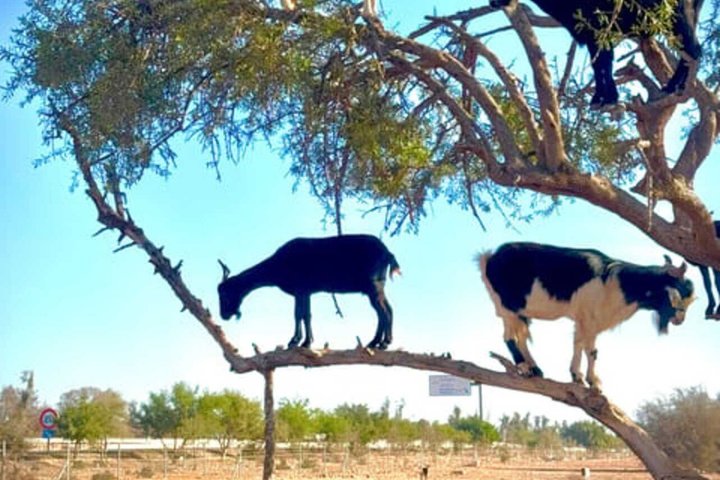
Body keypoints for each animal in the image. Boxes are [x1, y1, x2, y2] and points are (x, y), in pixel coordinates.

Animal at [217, 234, 400, 349]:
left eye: (224, 293)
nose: (224, 315)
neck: (278, 265)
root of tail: (388, 253)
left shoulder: (300, 289)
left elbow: (299, 314)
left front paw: (296, 342)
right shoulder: (306, 292)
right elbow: (306, 315)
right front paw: (304, 342)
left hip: (373, 286)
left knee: (384, 311)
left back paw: (380, 343)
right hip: (377, 287)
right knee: (387, 310)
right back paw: (380, 342)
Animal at [478, 242, 694, 389]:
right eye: (681, 293)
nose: (680, 320)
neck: (616, 283)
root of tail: (489, 257)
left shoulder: (587, 320)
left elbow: (579, 344)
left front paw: (578, 376)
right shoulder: (589, 318)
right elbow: (591, 351)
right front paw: (592, 381)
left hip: (520, 312)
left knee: (521, 337)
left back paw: (535, 369)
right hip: (508, 308)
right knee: (509, 337)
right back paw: (524, 367)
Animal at [488, 0, 704, 107]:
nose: (493, 2)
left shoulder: (599, 29)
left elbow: (602, 64)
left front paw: (605, 98)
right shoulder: (592, 34)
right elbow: (600, 64)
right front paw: (604, 97)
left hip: (675, 15)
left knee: (693, 49)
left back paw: (674, 86)